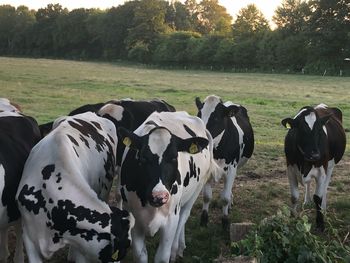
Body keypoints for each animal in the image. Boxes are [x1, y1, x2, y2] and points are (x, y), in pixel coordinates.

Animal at [119, 112, 220, 263]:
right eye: (143, 158)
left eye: (173, 158)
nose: (159, 196)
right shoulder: (135, 221)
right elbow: (140, 255)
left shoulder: (170, 220)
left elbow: (162, 257)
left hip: (196, 190)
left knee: (183, 217)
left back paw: (176, 249)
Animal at [194, 95, 254, 229]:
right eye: (199, 114)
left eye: (216, 118)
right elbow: (206, 197)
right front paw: (204, 219)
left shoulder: (232, 169)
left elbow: (225, 198)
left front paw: (225, 221)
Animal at [282, 104, 344, 232]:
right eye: (301, 129)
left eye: (320, 130)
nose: (315, 155)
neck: (304, 162)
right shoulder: (290, 169)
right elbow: (294, 196)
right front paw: (292, 216)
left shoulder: (321, 171)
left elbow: (318, 197)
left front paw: (320, 223)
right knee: (308, 183)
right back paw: (307, 201)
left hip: (330, 166)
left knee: (325, 186)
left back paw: (323, 208)